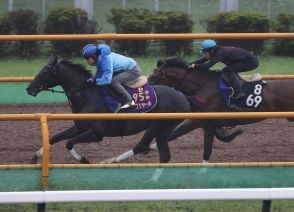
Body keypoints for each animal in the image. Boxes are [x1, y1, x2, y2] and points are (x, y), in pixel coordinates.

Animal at [25, 55, 211, 164]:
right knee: (156, 151)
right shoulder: (80, 126)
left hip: (160, 126)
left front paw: (83, 159)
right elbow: (55, 138)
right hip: (159, 128)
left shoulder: (97, 133)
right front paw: (35, 157)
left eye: (44, 72)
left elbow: (69, 142)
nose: (29, 89)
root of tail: (184, 96)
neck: (88, 95)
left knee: (148, 147)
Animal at [149, 58, 294, 161]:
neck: (203, 85)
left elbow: (177, 135)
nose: (149, 92)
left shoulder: (200, 121)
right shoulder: (204, 123)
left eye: (154, 77)